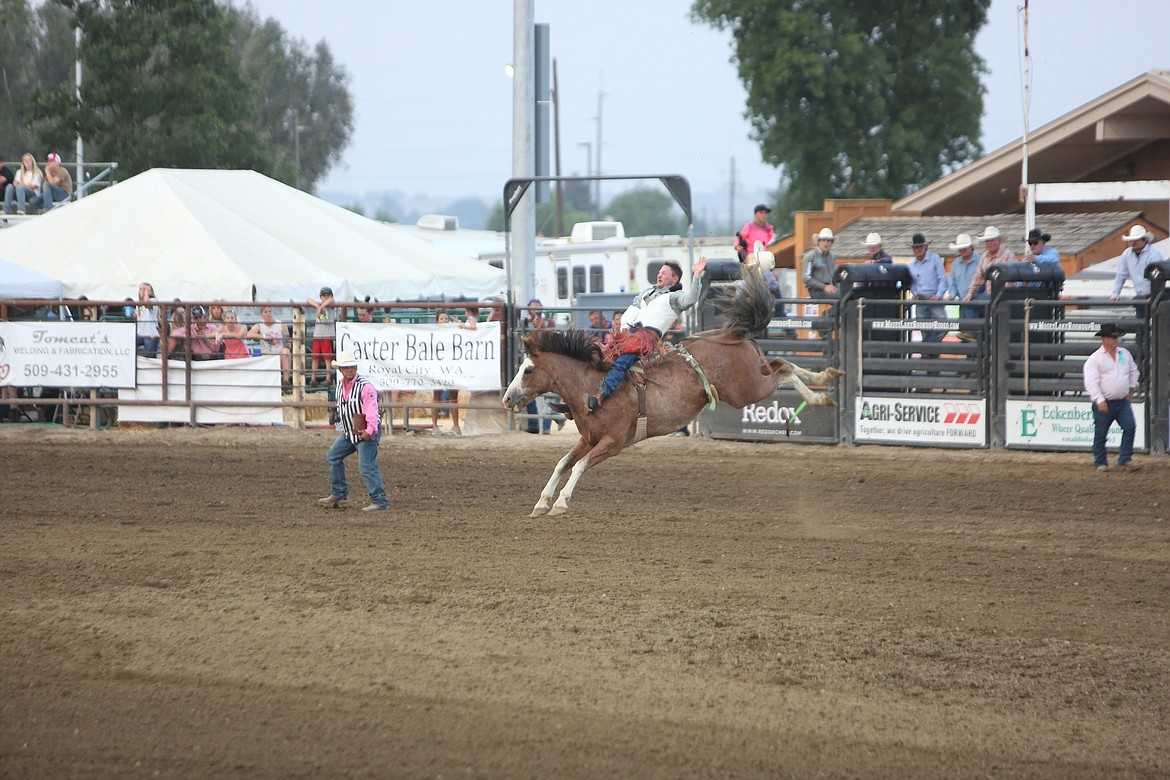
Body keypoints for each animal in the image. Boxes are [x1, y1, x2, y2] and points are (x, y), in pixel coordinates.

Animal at [503, 264, 842, 519]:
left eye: (528, 370)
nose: (507, 397)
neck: (590, 388)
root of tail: (732, 334)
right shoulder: (588, 439)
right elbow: (563, 463)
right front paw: (542, 502)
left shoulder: (613, 442)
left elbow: (579, 466)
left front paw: (560, 503)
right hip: (752, 378)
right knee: (782, 363)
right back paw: (826, 377)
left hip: (746, 390)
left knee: (784, 372)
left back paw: (821, 393)